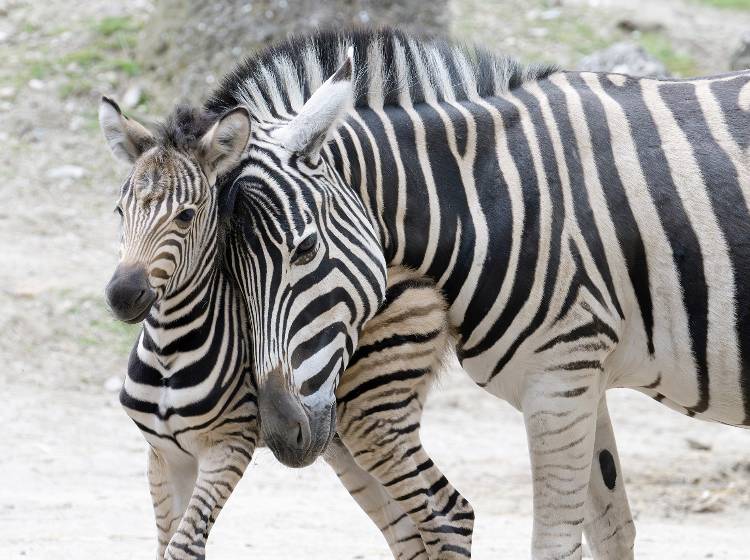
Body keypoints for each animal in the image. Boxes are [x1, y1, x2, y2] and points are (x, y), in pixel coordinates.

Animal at [99, 98, 474, 559]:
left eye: (186, 216)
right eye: (120, 211)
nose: (122, 294)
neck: (170, 348)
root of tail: (421, 276)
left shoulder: (227, 446)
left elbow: (182, 547)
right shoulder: (164, 454)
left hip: (374, 412)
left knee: (448, 513)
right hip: (336, 435)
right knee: (410, 531)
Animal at [195, 28, 750, 559]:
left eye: (306, 247)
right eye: (229, 275)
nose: (282, 434)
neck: (492, 199)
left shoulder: (559, 379)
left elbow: (555, 545)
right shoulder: (583, 372)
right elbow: (611, 532)